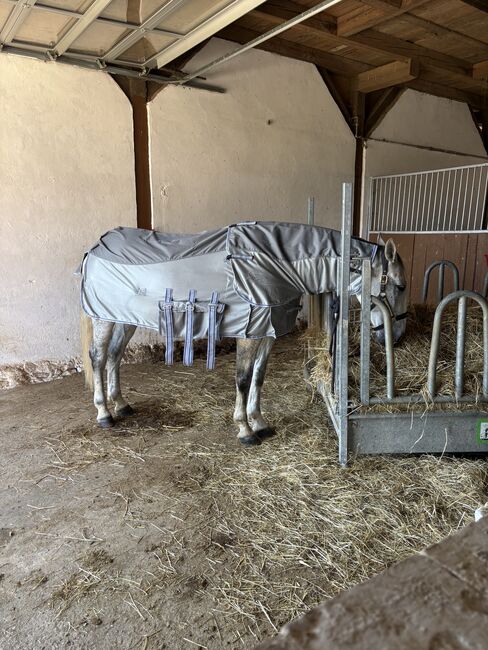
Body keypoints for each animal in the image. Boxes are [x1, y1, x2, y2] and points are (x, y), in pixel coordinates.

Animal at [79, 223, 407, 446]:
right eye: (400, 286)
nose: (397, 337)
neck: (271, 263)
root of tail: (93, 249)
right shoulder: (249, 331)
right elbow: (243, 378)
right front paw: (245, 430)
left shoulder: (268, 332)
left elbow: (259, 377)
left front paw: (260, 423)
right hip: (102, 319)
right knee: (98, 358)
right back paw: (104, 414)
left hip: (123, 319)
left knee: (114, 356)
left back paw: (121, 405)